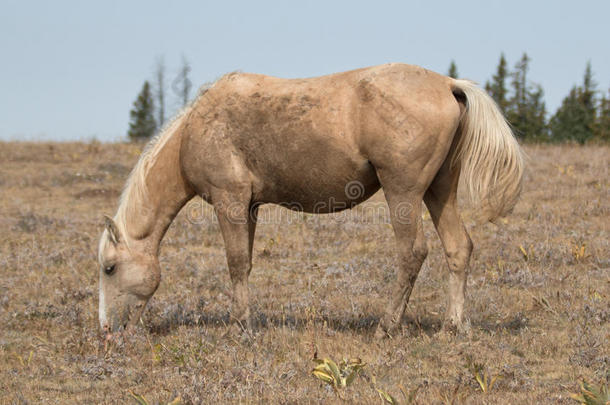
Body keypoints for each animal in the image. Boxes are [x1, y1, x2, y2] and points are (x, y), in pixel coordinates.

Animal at [97, 62, 520, 338]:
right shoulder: (249, 207)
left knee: (412, 253)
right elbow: (246, 262)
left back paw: (387, 326)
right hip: (439, 191)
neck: (194, 130)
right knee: (458, 247)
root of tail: (449, 84)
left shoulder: (229, 200)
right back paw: (454, 326)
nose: (107, 330)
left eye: (109, 268)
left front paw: (239, 326)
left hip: (404, 193)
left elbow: (235, 263)